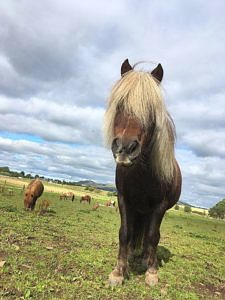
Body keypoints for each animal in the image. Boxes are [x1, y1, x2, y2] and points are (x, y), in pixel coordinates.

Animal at [103, 58, 181, 286]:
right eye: (120, 104)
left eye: (151, 111)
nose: (125, 148)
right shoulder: (124, 199)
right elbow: (124, 232)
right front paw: (119, 271)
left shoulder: (160, 206)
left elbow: (153, 236)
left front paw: (152, 272)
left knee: (150, 235)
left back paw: (146, 258)